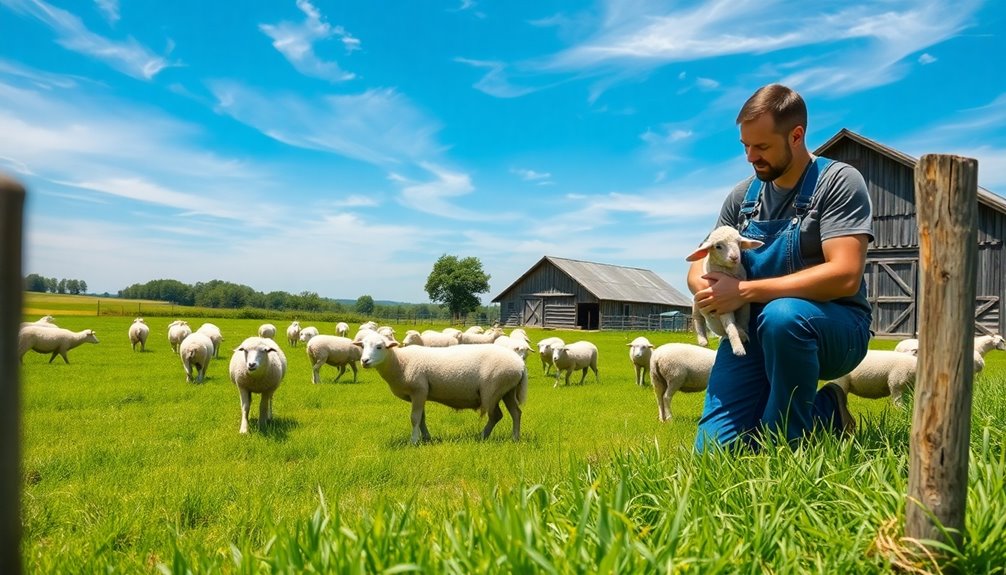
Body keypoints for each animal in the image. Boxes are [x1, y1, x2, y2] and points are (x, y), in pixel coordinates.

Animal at [354, 331, 527, 444]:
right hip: (508, 390)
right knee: (515, 413)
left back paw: (483, 436)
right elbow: (422, 418)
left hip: (493, 390)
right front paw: (426, 438)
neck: (400, 362)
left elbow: (414, 418)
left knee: (496, 415)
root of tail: (520, 364)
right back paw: (513, 438)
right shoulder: (421, 394)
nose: (364, 361)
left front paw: (413, 441)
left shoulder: (418, 390)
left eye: (379, 347)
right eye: (363, 346)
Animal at [688, 224, 764, 355]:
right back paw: (703, 341)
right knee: (698, 320)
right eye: (718, 246)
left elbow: (743, 319)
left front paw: (743, 331)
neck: (729, 271)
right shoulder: (721, 304)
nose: (734, 257)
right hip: (696, 305)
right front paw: (739, 348)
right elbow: (731, 327)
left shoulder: (744, 303)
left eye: (739, 243)